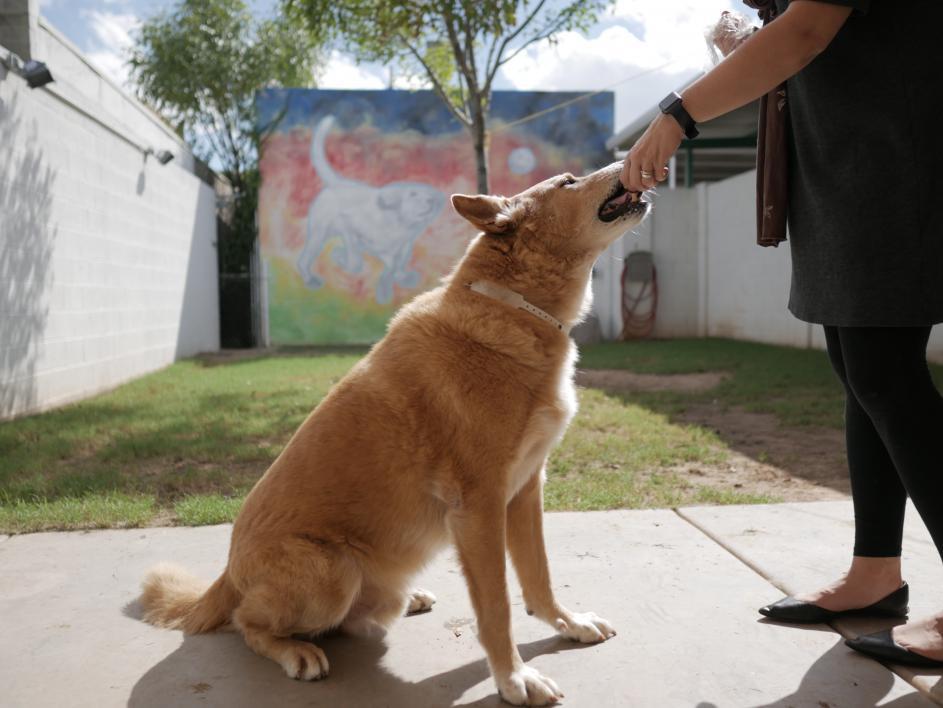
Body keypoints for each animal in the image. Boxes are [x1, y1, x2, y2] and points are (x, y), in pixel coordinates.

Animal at [138, 163, 648, 704]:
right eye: (568, 182)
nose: (627, 162)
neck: (515, 309)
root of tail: (228, 575)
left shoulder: (527, 490)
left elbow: (539, 579)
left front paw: (567, 624)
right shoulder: (479, 508)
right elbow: (497, 607)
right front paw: (514, 678)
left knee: (346, 619)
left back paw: (409, 599)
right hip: (332, 572)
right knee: (246, 622)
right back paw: (295, 651)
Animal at [296, 116, 446, 304]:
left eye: (429, 194)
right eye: (413, 194)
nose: (431, 200)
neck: (399, 224)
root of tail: (338, 183)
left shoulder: (404, 246)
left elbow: (398, 264)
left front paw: (401, 278)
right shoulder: (350, 228)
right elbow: (360, 262)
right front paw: (382, 290)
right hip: (319, 233)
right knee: (305, 258)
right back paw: (310, 278)